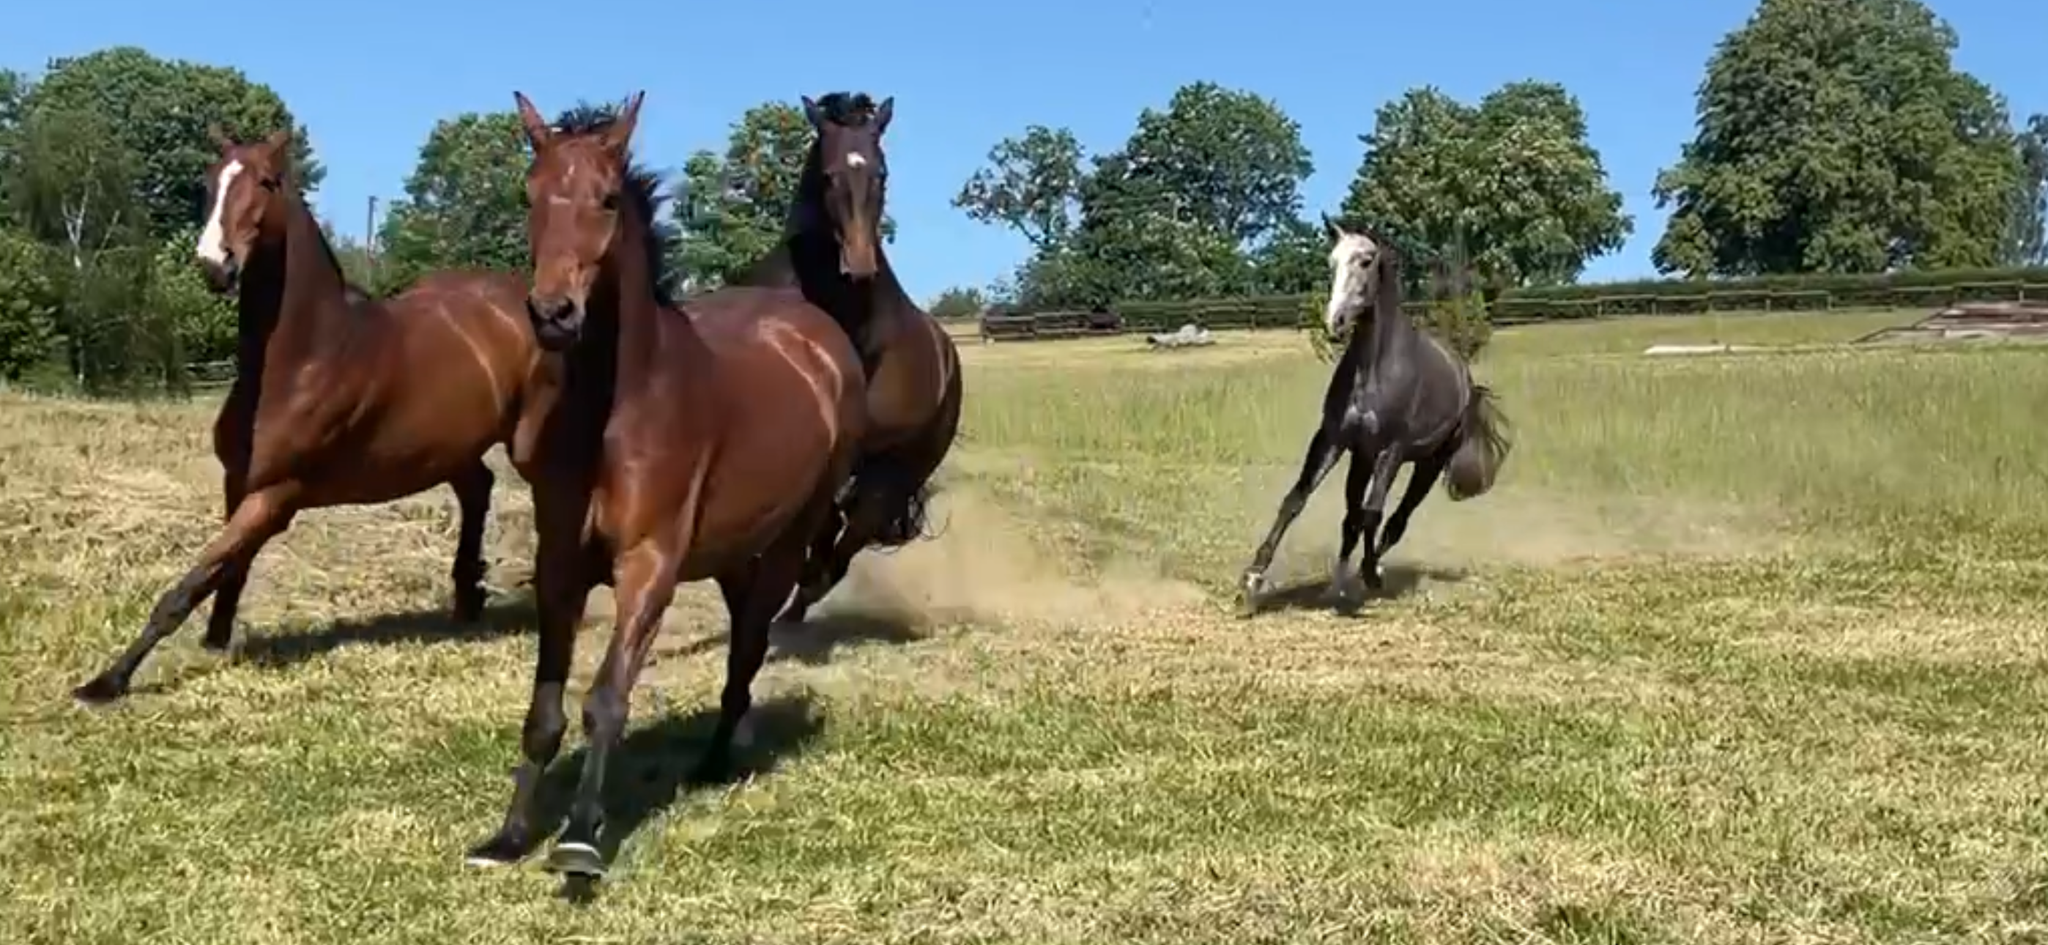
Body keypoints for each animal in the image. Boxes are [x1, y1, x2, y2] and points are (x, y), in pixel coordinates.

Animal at [74, 127, 544, 701]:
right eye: (211, 180)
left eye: (265, 182)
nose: (214, 264)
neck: (308, 357)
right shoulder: (239, 483)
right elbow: (228, 570)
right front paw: (216, 640)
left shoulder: (276, 496)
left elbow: (194, 579)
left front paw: (107, 682)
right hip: (452, 447)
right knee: (477, 489)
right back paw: (466, 598)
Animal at [460, 92, 868, 881]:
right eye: (530, 195)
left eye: (607, 198)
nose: (552, 315)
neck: (618, 409)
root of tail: (818, 336)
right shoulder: (561, 565)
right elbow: (546, 709)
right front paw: (509, 836)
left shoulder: (648, 564)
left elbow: (607, 698)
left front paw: (581, 838)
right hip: (738, 550)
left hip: (787, 540)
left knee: (749, 644)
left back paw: (717, 761)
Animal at [1228, 217, 1507, 614]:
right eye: (1331, 262)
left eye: (1365, 261)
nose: (1335, 322)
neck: (1373, 370)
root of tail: (1465, 380)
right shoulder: (1336, 440)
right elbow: (1298, 499)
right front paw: (1253, 577)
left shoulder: (1392, 448)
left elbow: (1373, 512)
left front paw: (1370, 574)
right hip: (1364, 458)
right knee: (1354, 519)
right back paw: (1342, 582)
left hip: (1429, 462)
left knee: (1395, 520)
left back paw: (1372, 570)